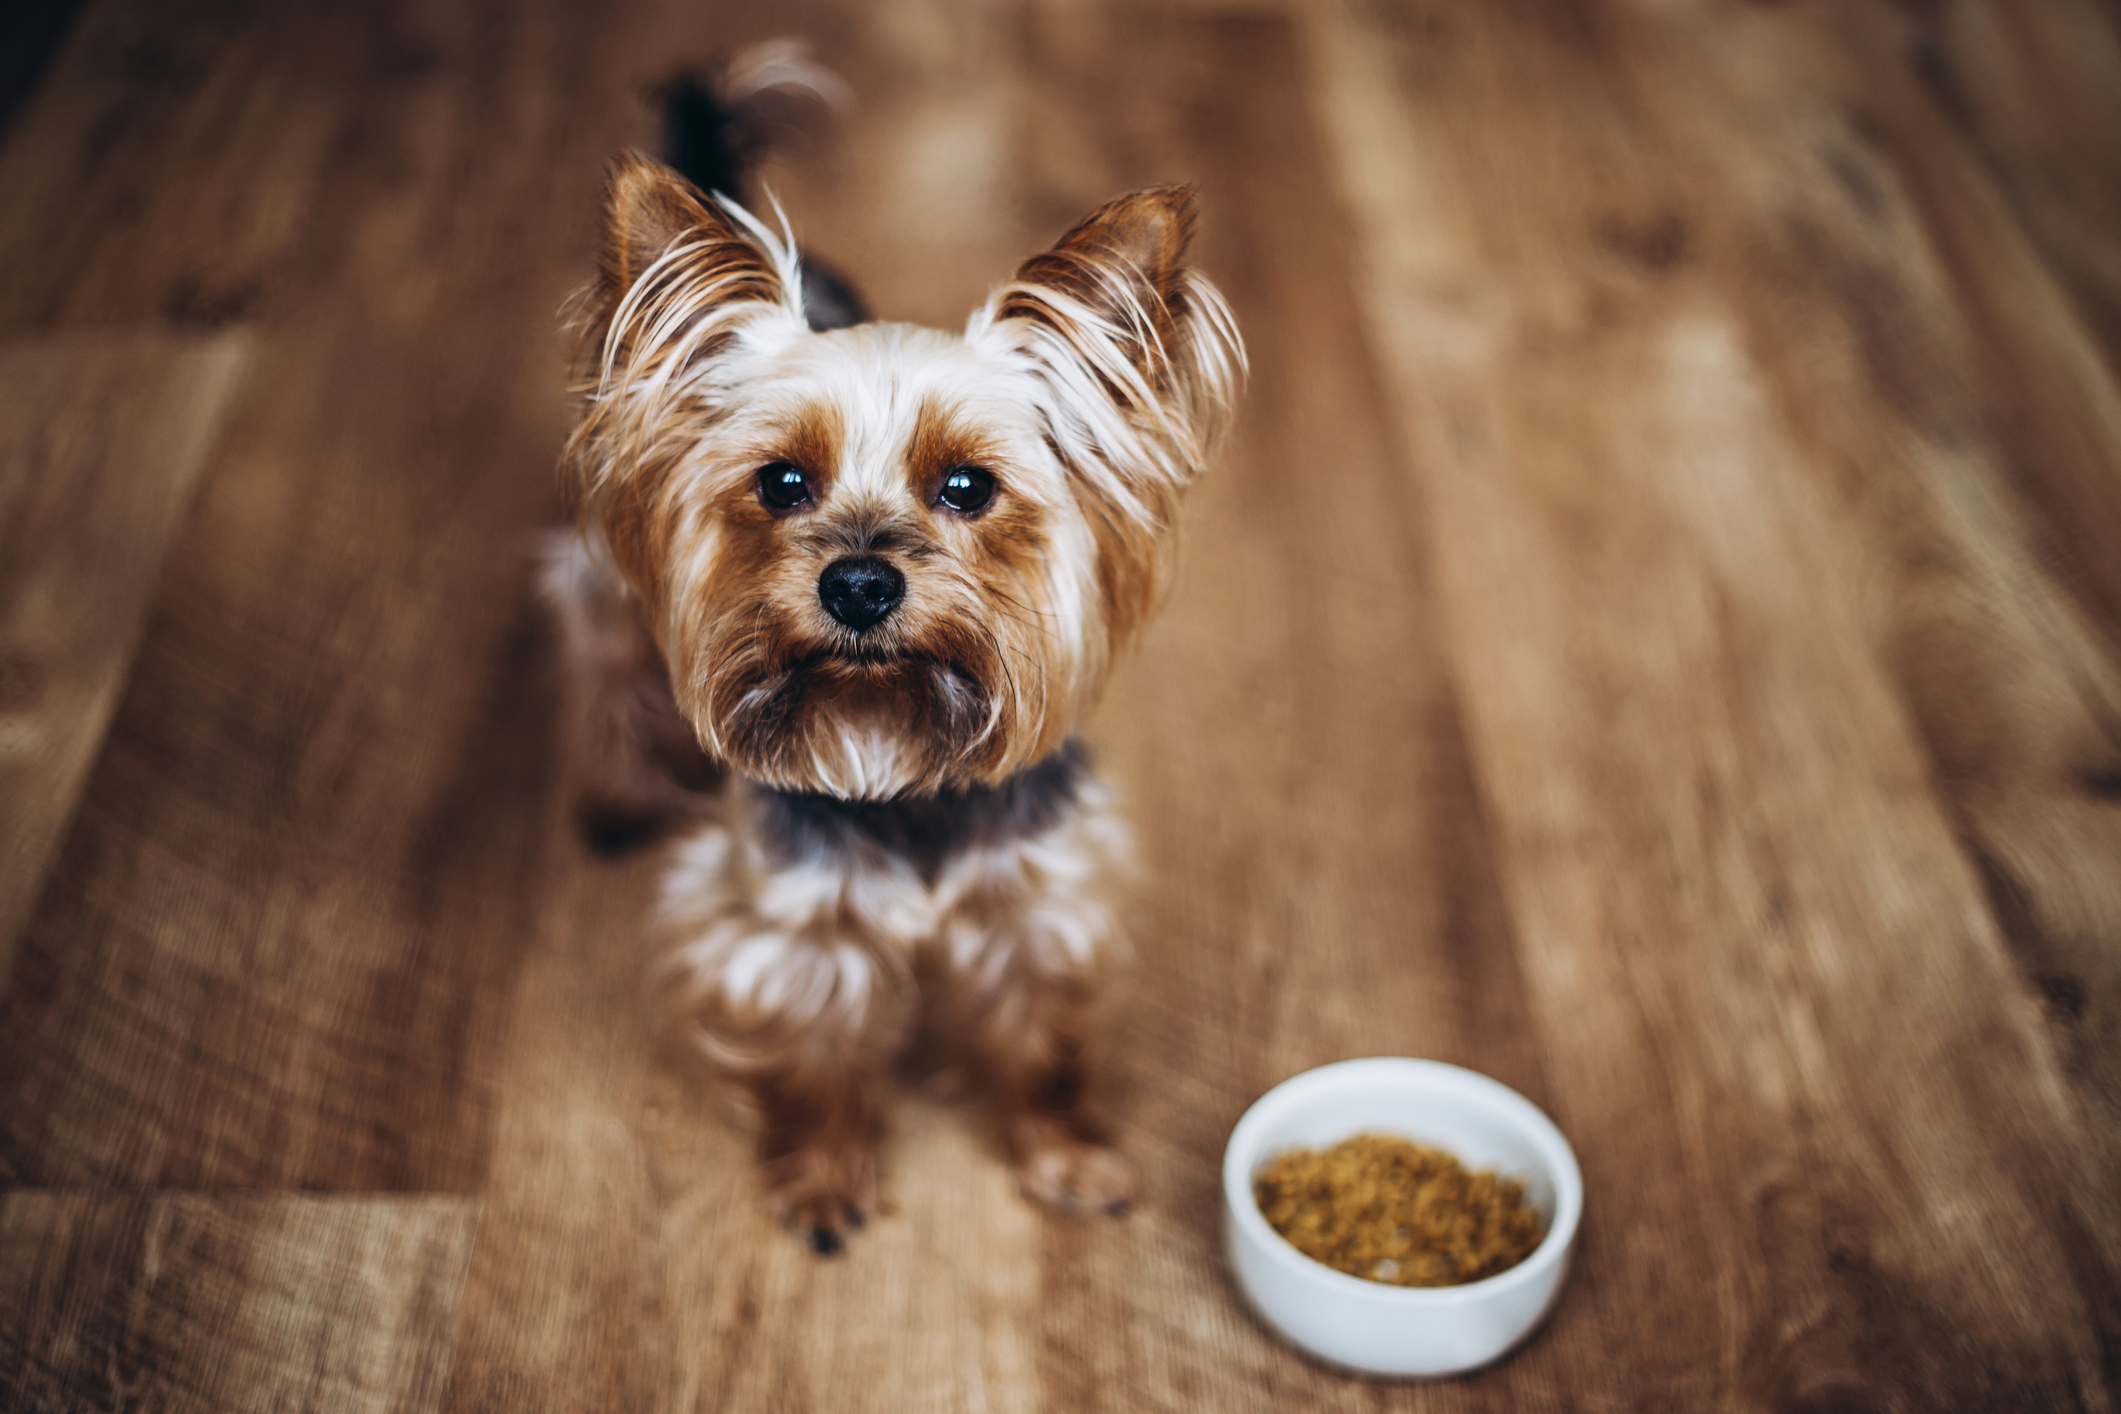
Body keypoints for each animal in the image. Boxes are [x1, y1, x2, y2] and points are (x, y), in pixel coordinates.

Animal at [542, 77, 1238, 1255]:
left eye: (968, 487)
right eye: (780, 482)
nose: (860, 584)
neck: (892, 735)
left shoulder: (1036, 899)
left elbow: (1041, 1039)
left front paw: (1066, 1156)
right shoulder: (788, 925)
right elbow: (813, 1057)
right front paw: (824, 1179)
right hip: (600, 577)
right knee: (599, 649)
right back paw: (618, 789)